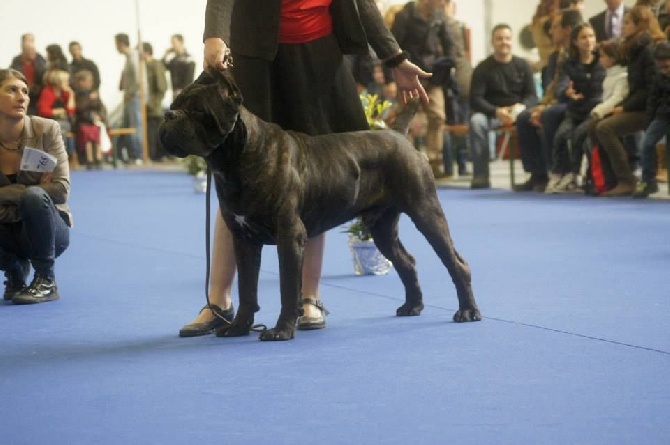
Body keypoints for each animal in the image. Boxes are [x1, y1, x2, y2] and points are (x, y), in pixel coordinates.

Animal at [159, 70, 480, 340]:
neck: (237, 158)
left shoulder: (289, 236)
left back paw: (467, 311)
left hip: (426, 211)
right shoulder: (243, 240)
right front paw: (238, 327)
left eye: (197, 110)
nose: (168, 114)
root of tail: (398, 134)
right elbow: (247, 288)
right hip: (381, 226)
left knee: (456, 263)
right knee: (406, 261)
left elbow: (288, 287)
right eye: (175, 104)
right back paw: (412, 306)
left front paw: (281, 331)